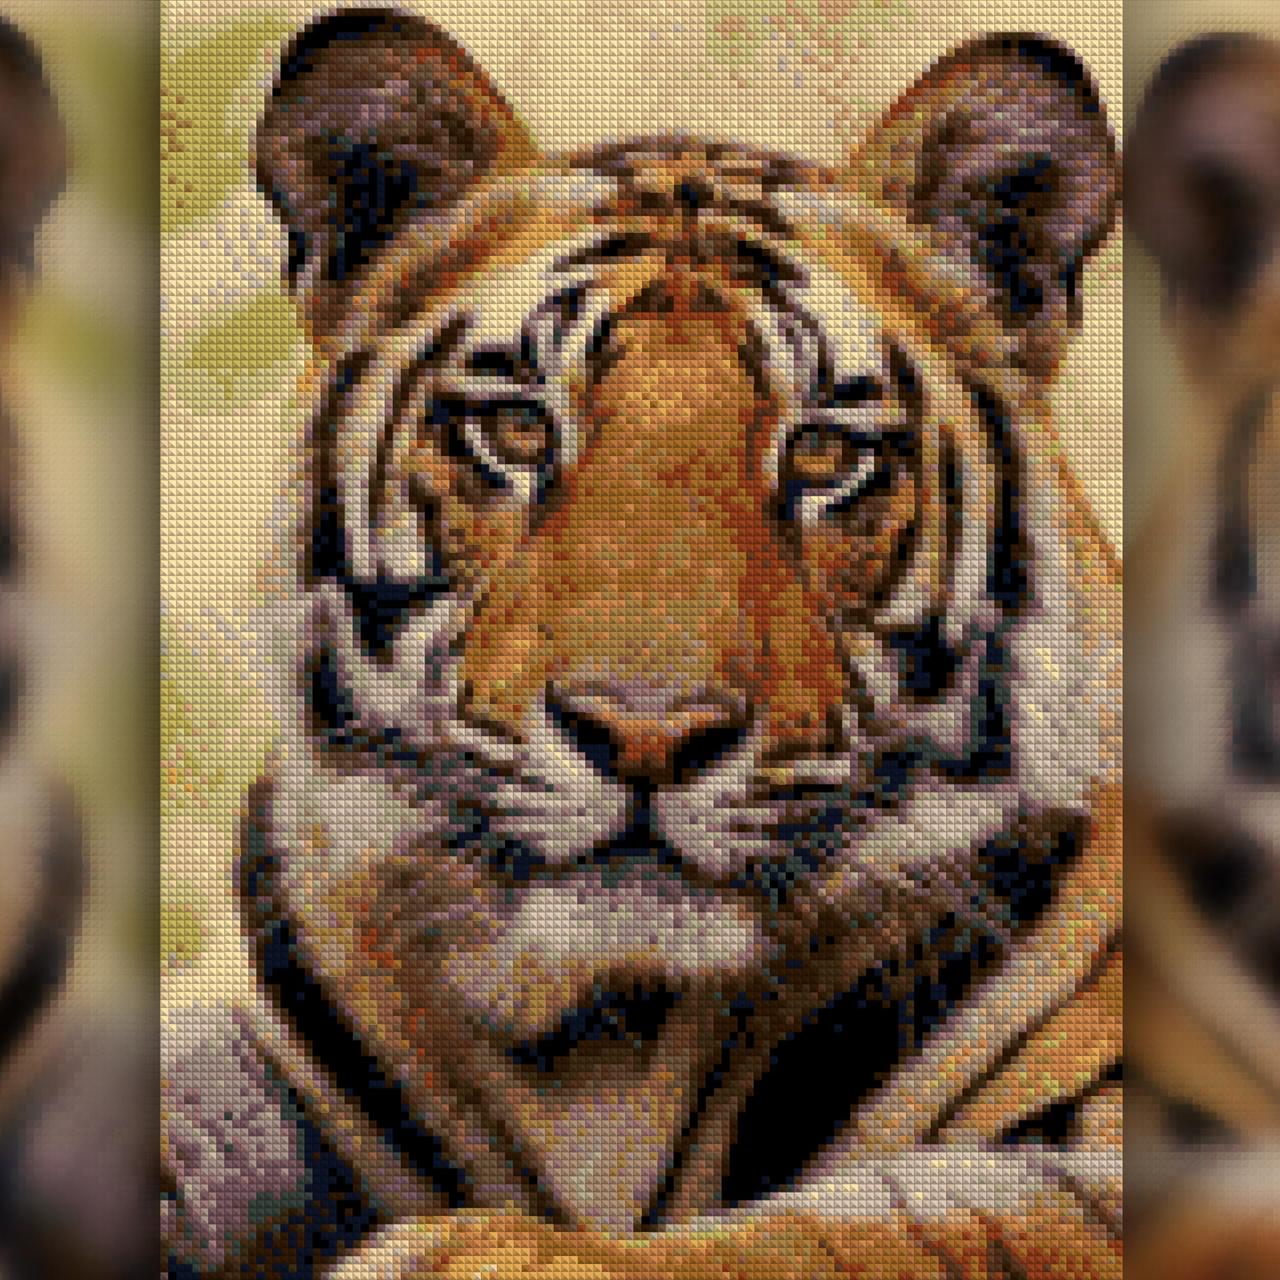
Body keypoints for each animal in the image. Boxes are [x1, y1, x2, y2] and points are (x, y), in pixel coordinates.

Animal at [162, 10, 1123, 1277]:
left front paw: (464, 1252)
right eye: (518, 429)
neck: (587, 1035)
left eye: (822, 454)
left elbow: (873, 1221)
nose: (645, 734)